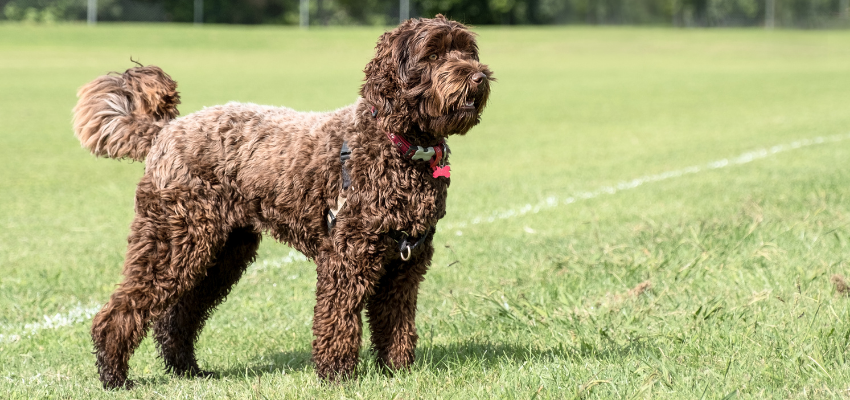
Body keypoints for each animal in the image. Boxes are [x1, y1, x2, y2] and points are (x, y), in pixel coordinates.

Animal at [76, 14, 494, 390]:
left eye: (467, 51)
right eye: (433, 55)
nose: (479, 76)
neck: (399, 146)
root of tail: (165, 130)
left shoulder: (406, 263)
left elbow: (396, 321)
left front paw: (397, 371)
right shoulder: (346, 257)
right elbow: (338, 319)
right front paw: (337, 375)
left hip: (222, 253)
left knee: (176, 316)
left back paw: (187, 370)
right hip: (172, 241)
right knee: (122, 311)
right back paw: (114, 376)